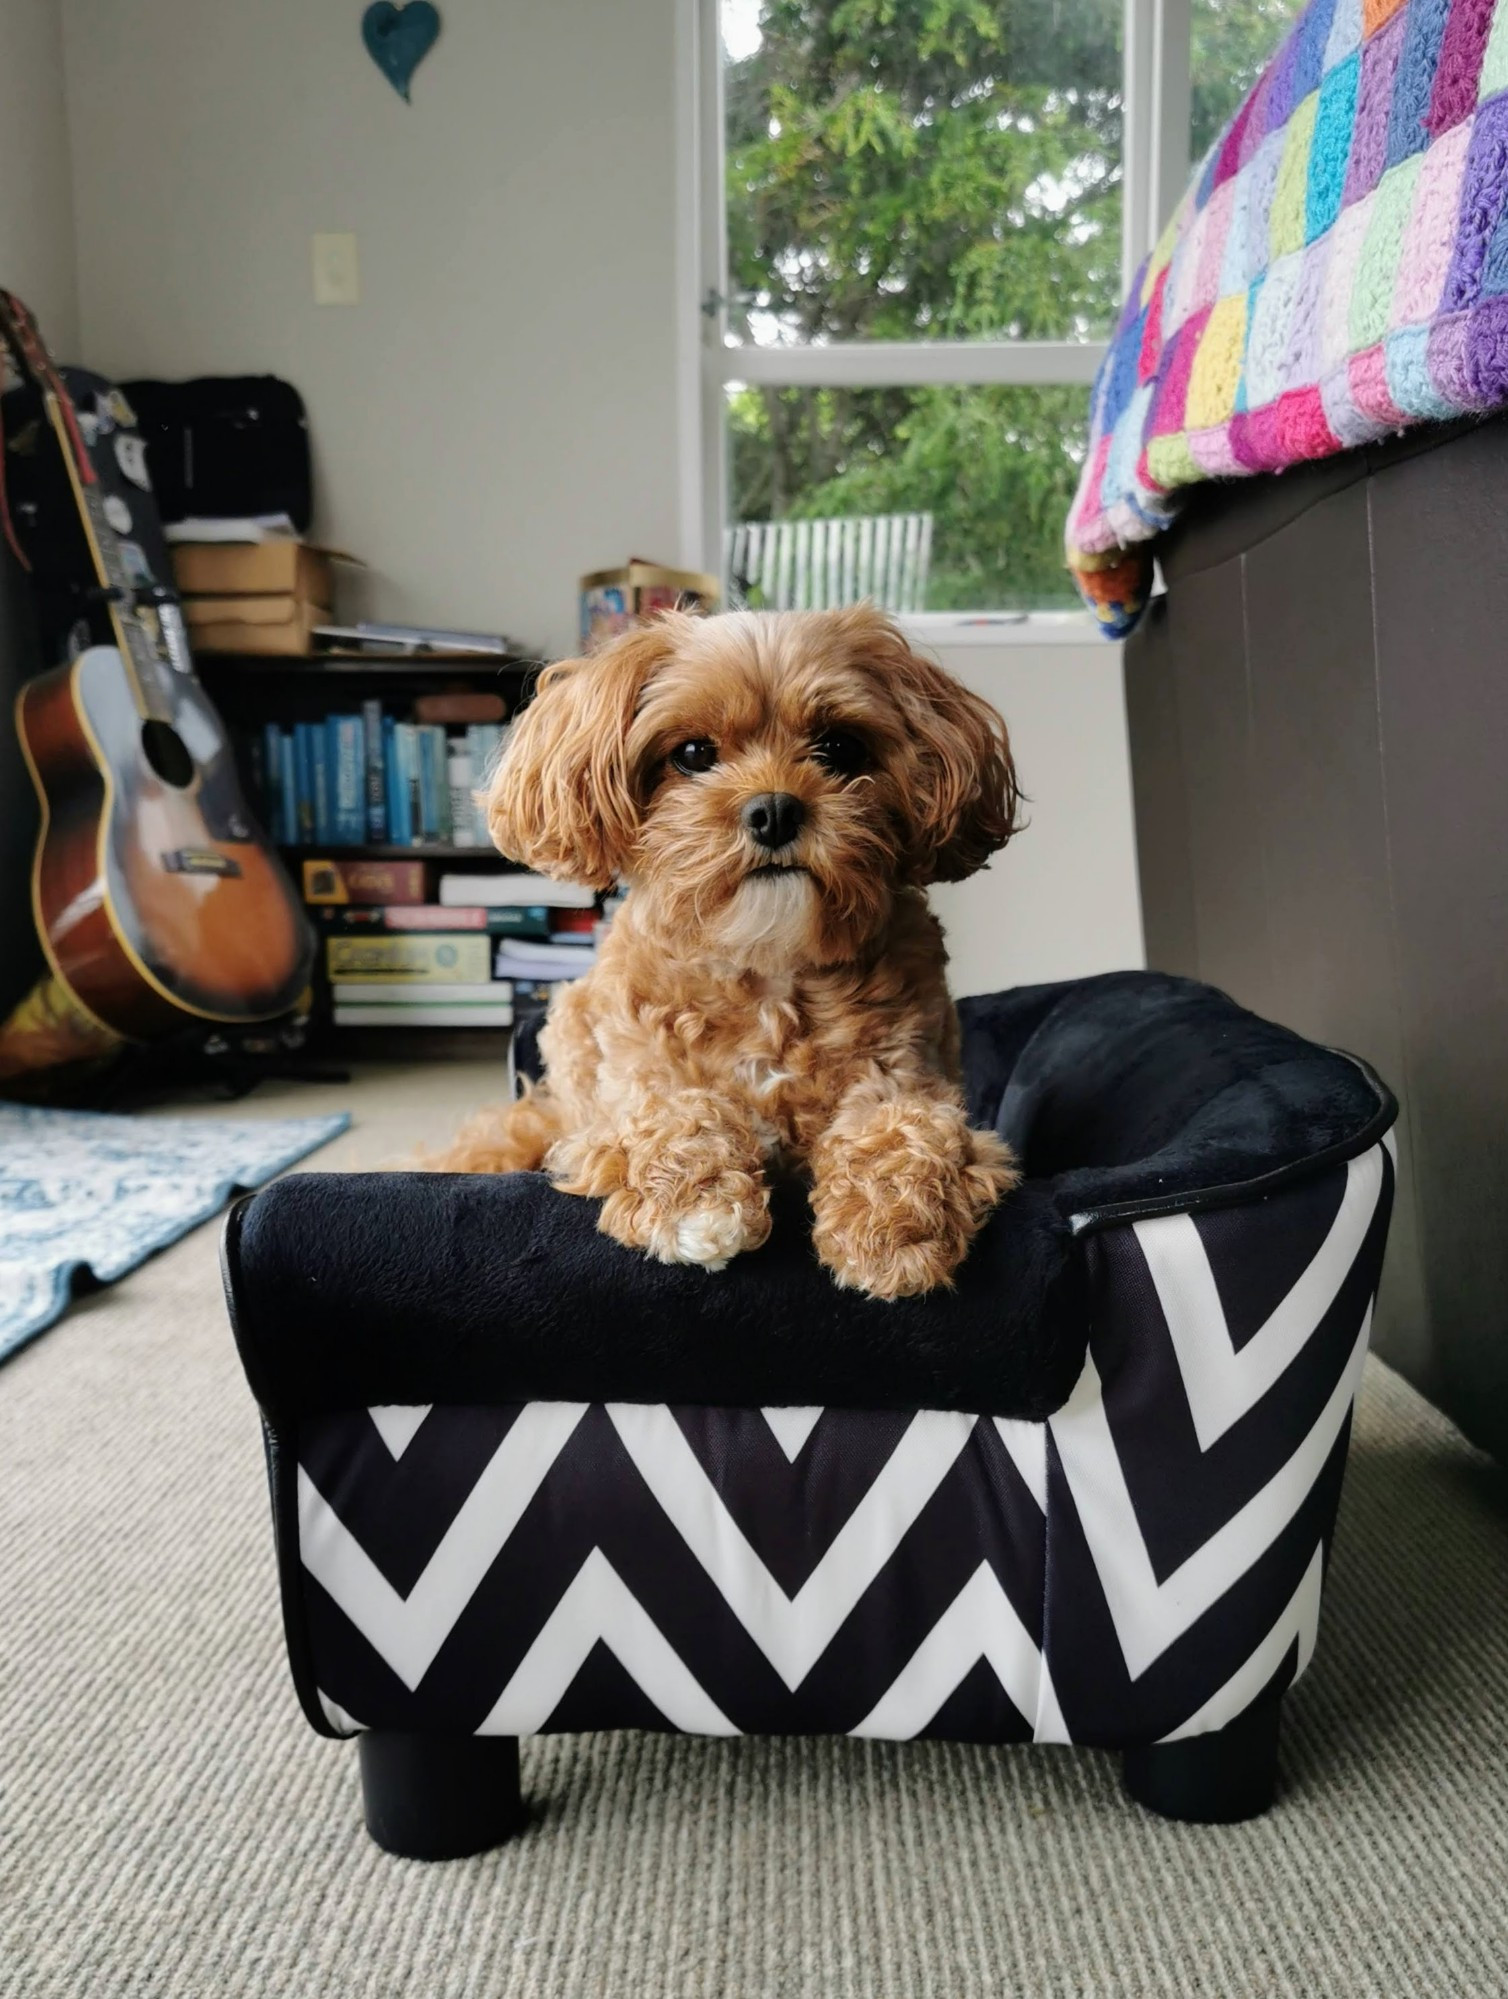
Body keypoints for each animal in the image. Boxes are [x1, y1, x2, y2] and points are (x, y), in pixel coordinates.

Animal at [434, 599, 1024, 1303]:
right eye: (693, 753)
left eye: (839, 746)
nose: (774, 810)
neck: (766, 965)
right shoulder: (628, 1092)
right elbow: (671, 1112)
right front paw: (696, 1201)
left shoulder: (908, 1080)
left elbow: (906, 1130)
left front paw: (892, 1229)